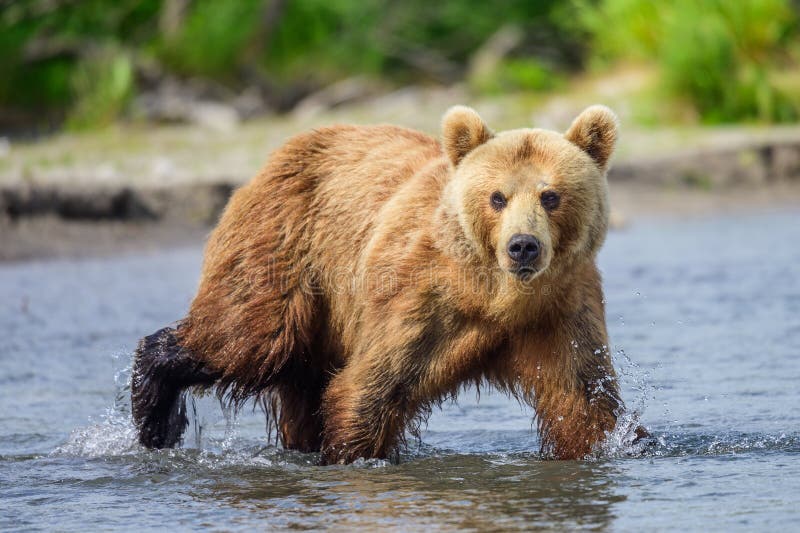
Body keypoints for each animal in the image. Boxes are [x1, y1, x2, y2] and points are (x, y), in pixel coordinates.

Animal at [131, 103, 632, 462]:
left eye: (551, 196)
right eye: (497, 197)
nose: (523, 246)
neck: (494, 297)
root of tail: (282, 151)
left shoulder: (560, 312)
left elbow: (583, 403)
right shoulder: (421, 300)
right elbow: (370, 389)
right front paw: (352, 456)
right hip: (285, 250)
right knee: (247, 336)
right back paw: (155, 417)